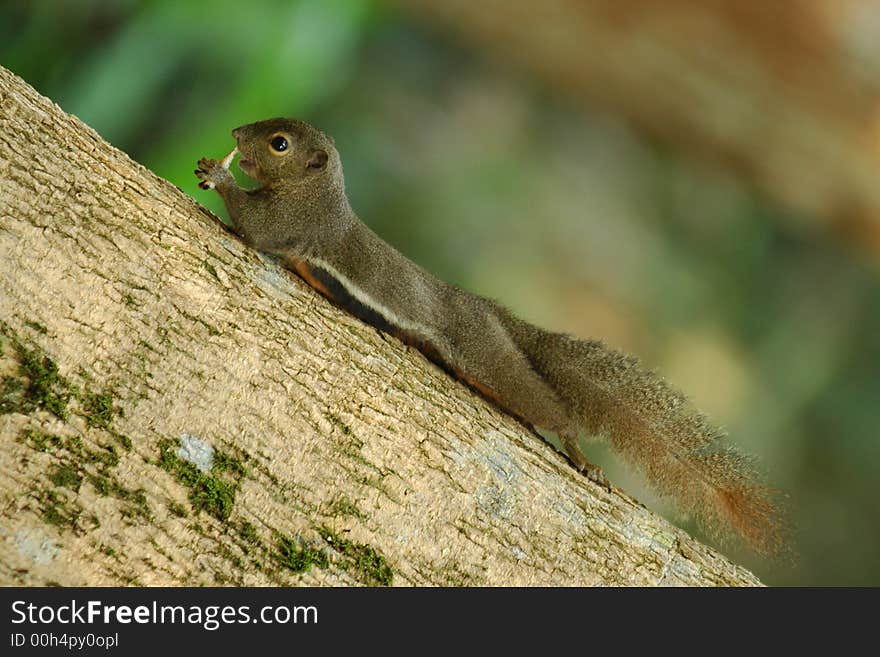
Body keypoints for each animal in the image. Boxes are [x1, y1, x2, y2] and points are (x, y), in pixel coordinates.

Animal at [194, 118, 784, 552]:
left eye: (279, 143)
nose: (234, 134)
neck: (318, 194)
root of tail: (494, 314)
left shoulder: (295, 225)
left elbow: (257, 229)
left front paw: (217, 177)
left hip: (487, 359)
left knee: (551, 410)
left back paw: (581, 455)